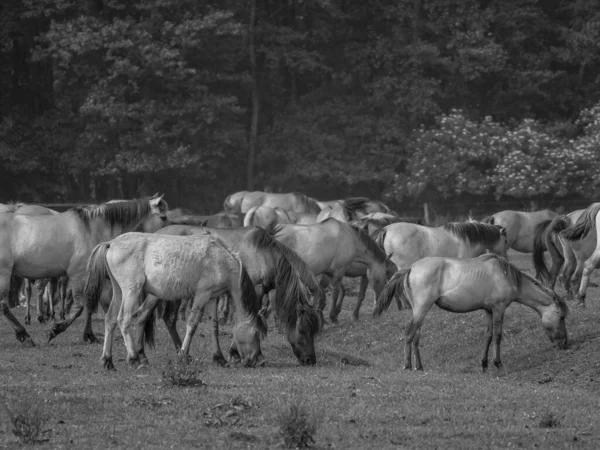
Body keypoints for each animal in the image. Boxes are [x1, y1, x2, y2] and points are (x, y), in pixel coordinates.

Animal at [0, 195, 169, 346]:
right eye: (163, 217)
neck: (92, 229)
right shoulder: (77, 275)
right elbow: (80, 306)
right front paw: (55, 330)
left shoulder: (91, 276)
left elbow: (90, 303)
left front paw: (89, 335)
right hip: (4, 273)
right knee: (3, 304)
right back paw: (24, 335)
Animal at [83, 232, 266, 370]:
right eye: (256, 333)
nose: (258, 360)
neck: (220, 259)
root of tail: (111, 243)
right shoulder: (202, 295)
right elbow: (192, 325)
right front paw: (183, 355)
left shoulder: (213, 297)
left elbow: (214, 327)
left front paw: (219, 358)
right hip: (131, 291)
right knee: (123, 320)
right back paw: (134, 358)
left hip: (119, 292)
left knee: (110, 319)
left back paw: (107, 360)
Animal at [132, 223, 324, 368]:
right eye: (302, 330)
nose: (310, 360)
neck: (263, 253)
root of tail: (156, 234)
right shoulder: (254, 290)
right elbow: (251, 320)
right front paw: (239, 354)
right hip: (159, 293)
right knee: (143, 315)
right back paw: (142, 356)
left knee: (169, 318)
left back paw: (181, 352)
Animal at [376, 255, 568, 370]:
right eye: (561, 317)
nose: (565, 343)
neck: (507, 276)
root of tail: (411, 268)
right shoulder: (499, 309)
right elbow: (498, 336)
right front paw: (498, 363)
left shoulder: (488, 311)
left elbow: (488, 336)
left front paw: (484, 364)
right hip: (421, 309)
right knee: (409, 334)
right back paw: (407, 365)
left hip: (419, 311)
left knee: (416, 336)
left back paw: (420, 366)